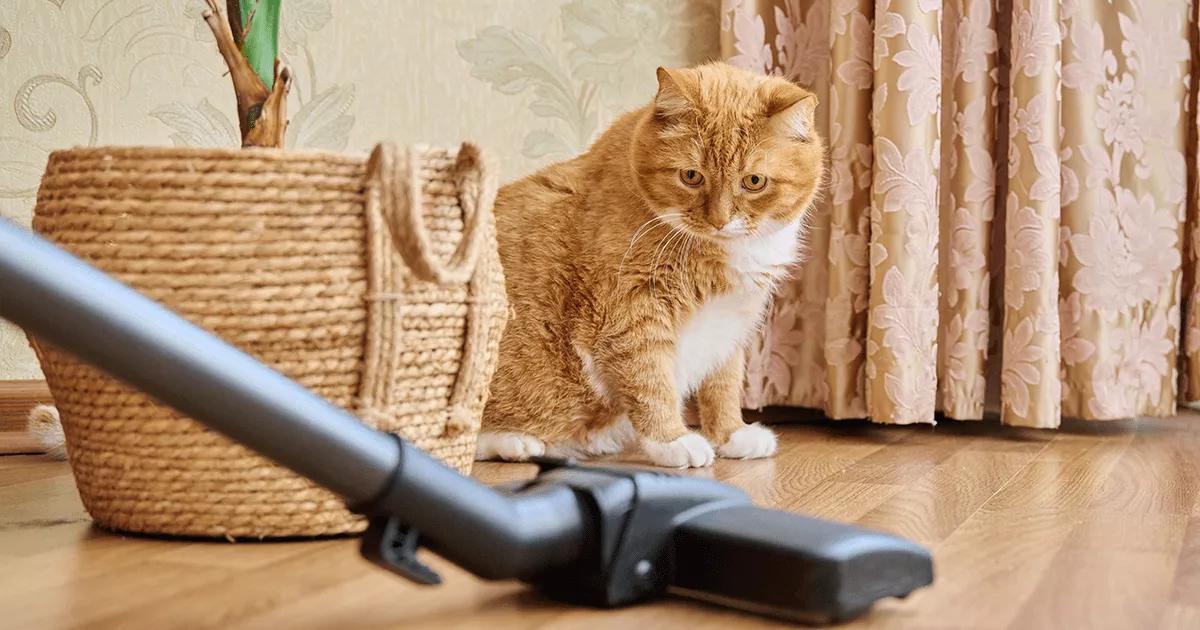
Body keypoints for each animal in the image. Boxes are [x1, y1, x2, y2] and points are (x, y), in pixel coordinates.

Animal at [477, 62, 825, 465]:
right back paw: (515, 442)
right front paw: (672, 440)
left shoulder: (730, 322)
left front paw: (731, 434)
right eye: (691, 176)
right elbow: (651, 381)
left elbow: (723, 384)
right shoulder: (631, 313)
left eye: (754, 181)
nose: (719, 220)